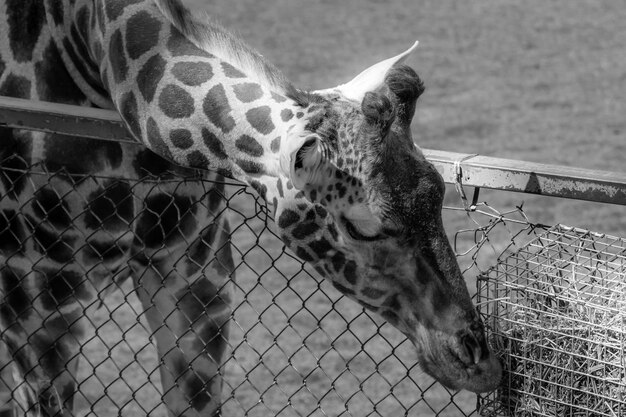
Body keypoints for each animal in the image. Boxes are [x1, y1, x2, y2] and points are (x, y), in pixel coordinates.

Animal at [0, 0, 500, 414]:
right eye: (363, 228)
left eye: (438, 191)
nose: (478, 361)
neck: (87, 51)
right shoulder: (37, 307)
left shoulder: (197, 282)